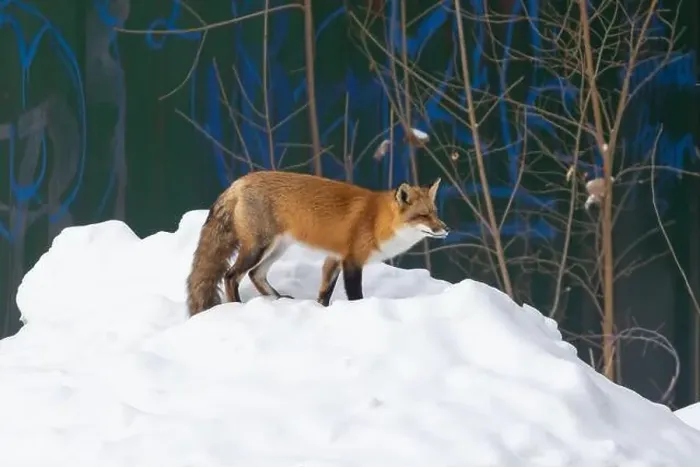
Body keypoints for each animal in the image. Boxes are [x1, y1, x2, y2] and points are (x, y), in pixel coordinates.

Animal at [185, 170, 449, 317]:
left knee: (255, 275)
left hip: (277, 248)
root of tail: (238, 182)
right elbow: (355, 294)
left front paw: (319, 310)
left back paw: (279, 300)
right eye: (423, 216)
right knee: (231, 276)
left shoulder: (333, 258)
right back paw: (237, 308)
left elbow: (324, 294)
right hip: (259, 247)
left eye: (435, 213)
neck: (376, 221)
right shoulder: (352, 261)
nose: (446, 229)